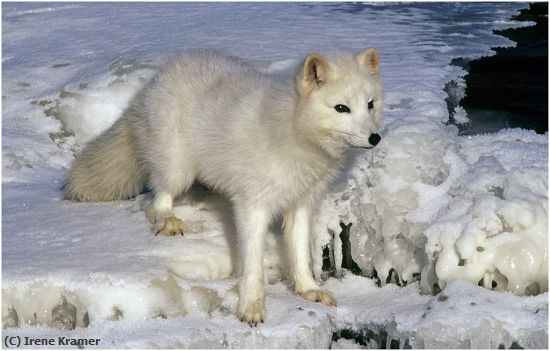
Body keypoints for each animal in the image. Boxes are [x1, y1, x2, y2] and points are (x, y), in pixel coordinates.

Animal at [64, 48, 384, 326]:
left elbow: (300, 253)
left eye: (370, 104)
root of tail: (160, 76)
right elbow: (253, 263)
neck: (292, 130)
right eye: (341, 108)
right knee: (159, 194)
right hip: (178, 167)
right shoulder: (253, 205)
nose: (375, 138)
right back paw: (168, 218)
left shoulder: (301, 203)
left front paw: (308, 290)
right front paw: (251, 308)